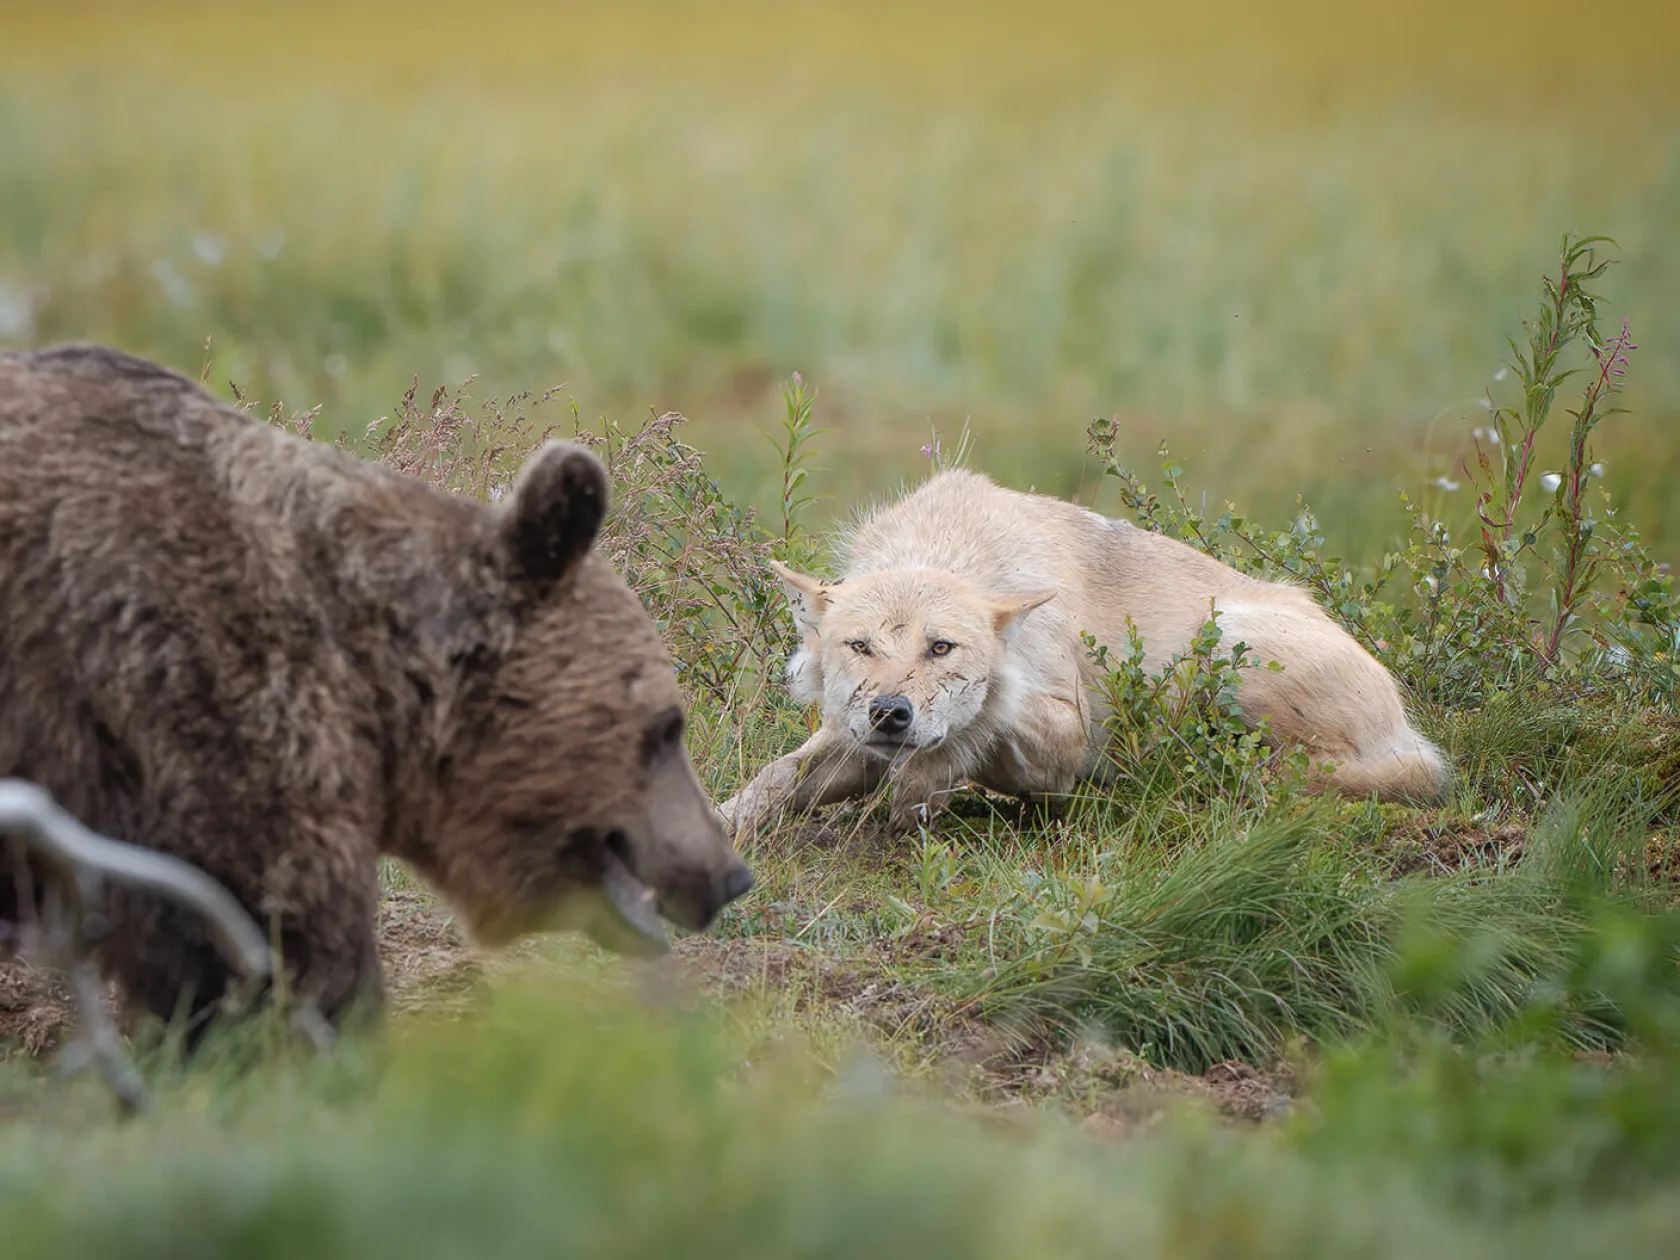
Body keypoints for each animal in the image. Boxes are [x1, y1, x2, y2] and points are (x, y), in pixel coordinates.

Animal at [718, 467, 1449, 837]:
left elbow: (982, 723)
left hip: (1231, 648)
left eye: (941, 648)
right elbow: (773, 778)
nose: (891, 713)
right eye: (861, 646)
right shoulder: (850, 738)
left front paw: (928, 782)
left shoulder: (1060, 741)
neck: (949, 545)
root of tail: (1411, 732)